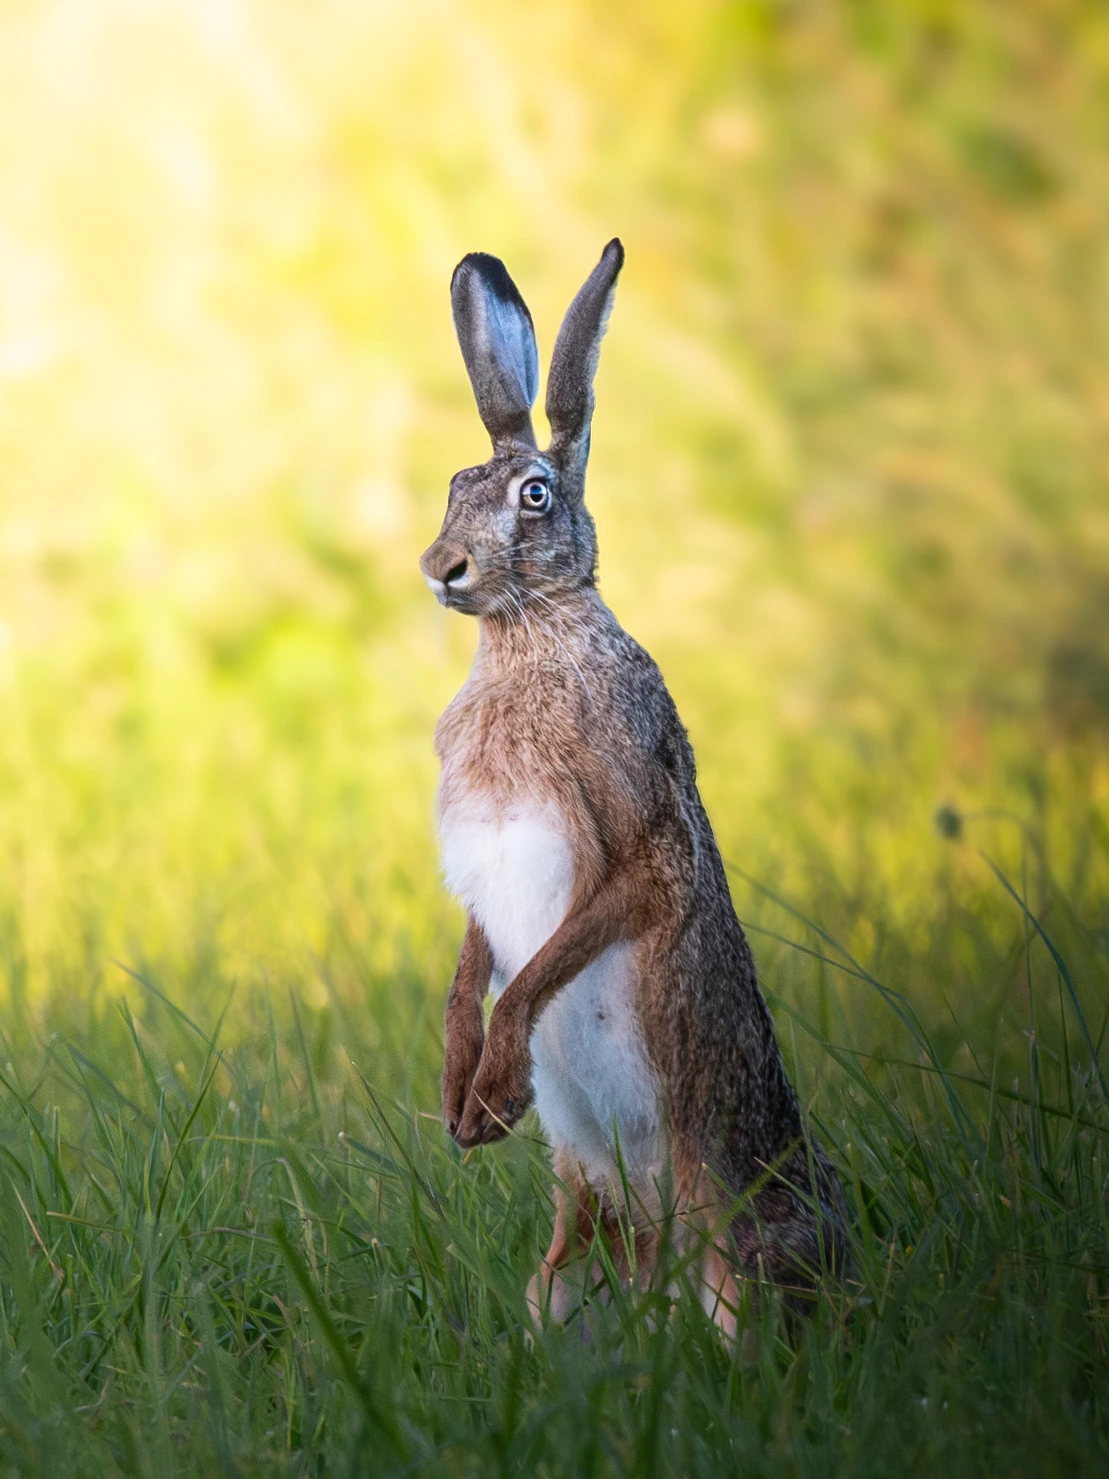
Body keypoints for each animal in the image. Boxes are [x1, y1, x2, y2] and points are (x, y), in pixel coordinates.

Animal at [420, 240, 847, 1331]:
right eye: (455, 482)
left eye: (533, 495)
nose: (440, 566)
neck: (528, 634)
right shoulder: (478, 882)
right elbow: (471, 971)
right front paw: (457, 1098)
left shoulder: (640, 843)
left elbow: (537, 971)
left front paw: (493, 1099)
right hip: (569, 1256)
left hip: (729, 1230)